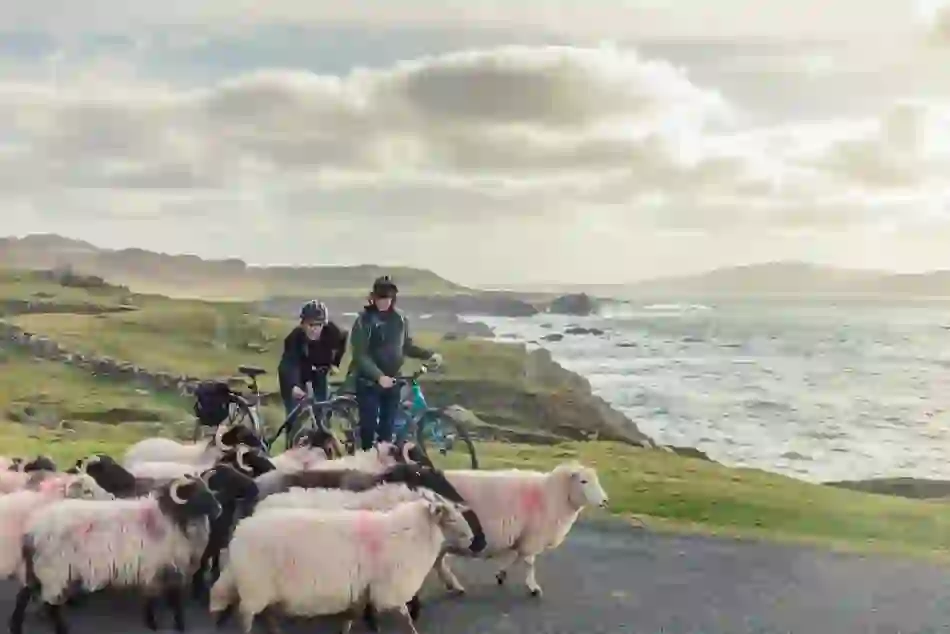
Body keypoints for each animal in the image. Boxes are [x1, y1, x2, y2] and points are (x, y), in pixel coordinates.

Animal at [9, 474, 221, 632]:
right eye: (195, 492)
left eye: (207, 488)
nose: (219, 509)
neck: (170, 518)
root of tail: (32, 528)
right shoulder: (159, 566)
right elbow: (165, 598)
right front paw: (163, 624)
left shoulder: (160, 567)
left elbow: (161, 597)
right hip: (54, 570)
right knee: (51, 605)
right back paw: (62, 629)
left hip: (40, 568)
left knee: (24, 596)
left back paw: (16, 627)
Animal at [209, 488, 476, 632]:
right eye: (450, 518)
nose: (473, 538)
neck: (409, 533)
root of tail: (241, 529)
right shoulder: (389, 590)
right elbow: (405, 618)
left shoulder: (361, 589)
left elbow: (351, 618)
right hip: (256, 586)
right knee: (245, 616)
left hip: (265, 588)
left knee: (266, 614)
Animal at [434, 460, 608, 596]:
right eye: (583, 481)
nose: (605, 501)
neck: (553, 494)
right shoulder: (534, 535)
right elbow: (529, 562)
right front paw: (533, 587)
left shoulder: (524, 536)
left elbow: (517, 557)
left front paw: (501, 574)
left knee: (438, 562)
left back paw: (453, 585)